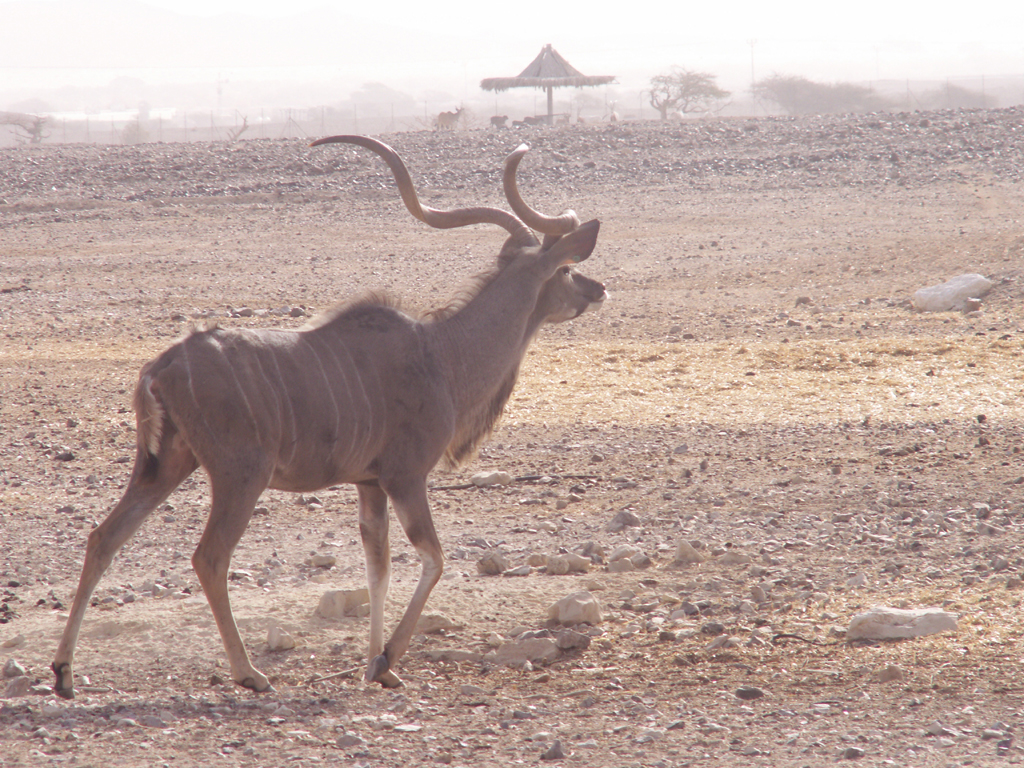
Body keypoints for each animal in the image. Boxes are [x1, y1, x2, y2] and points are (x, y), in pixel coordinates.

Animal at [51, 134, 602, 696]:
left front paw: (378, 666)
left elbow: (378, 567)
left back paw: (65, 673)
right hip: (239, 476)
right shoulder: (406, 477)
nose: (597, 290)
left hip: (164, 466)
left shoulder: (370, 484)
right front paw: (386, 658)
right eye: (566, 269)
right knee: (209, 557)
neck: (442, 355)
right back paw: (249, 673)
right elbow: (433, 557)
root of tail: (160, 368)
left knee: (103, 538)